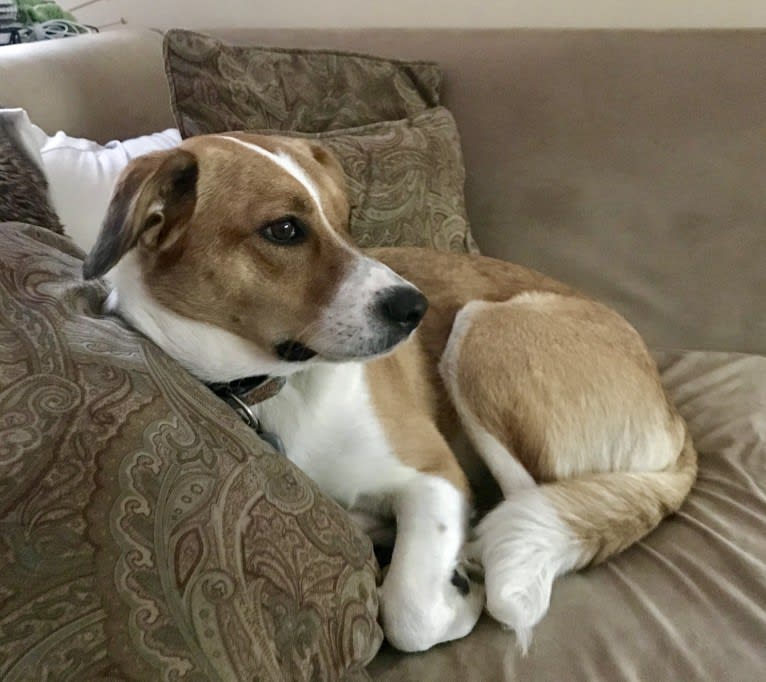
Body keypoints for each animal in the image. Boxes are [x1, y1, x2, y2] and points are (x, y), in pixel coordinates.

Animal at [81, 131, 700, 648]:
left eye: (346, 219)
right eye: (284, 229)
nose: (417, 309)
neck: (277, 389)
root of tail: (674, 418)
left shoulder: (435, 475)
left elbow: (409, 612)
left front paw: (456, 595)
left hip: (480, 331)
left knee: (533, 502)